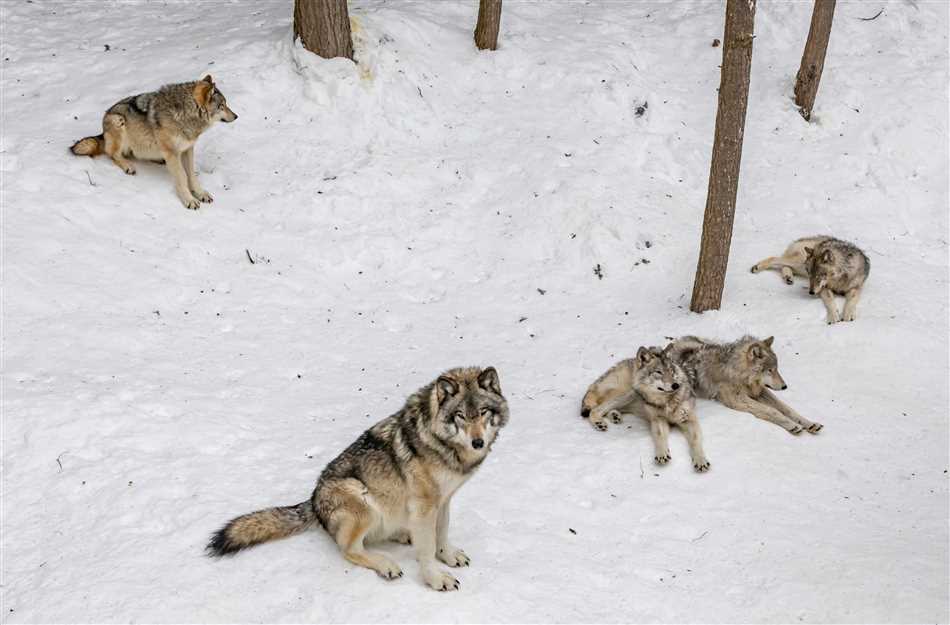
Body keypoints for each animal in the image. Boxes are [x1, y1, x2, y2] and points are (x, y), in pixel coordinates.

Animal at [68, 75, 236, 210]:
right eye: (222, 106)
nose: (236, 116)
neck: (186, 114)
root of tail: (102, 131)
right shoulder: (172, 153)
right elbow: (182, 177)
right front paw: (189, 200)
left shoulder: (187, 149)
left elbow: (192, 176)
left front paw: (201, 194)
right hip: (118, 120)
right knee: (113, 154)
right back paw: (128, 166)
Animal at [205, 368, 510, 592]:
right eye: (460, 416)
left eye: (483, 412)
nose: (478, 442)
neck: (443, 443)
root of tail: (313, 502)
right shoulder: (426, 505)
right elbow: (426, 549)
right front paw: (436, 579)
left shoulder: (443, 500)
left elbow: (441, 534)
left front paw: (447, 555)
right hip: (360, 498)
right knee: (349, 550)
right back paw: (386, 564)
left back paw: (403, 534)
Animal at [584, 344, 712, 470]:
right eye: (659, 372)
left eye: (671, 371)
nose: (676, 385)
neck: (666, 401)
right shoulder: (658, 420)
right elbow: (659, 437)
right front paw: (662, 454)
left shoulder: (689, 419)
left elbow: (695, 440)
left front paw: (700, 460)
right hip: (630, 393)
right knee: (596, 409)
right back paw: (599, 423)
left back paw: (615, 416)